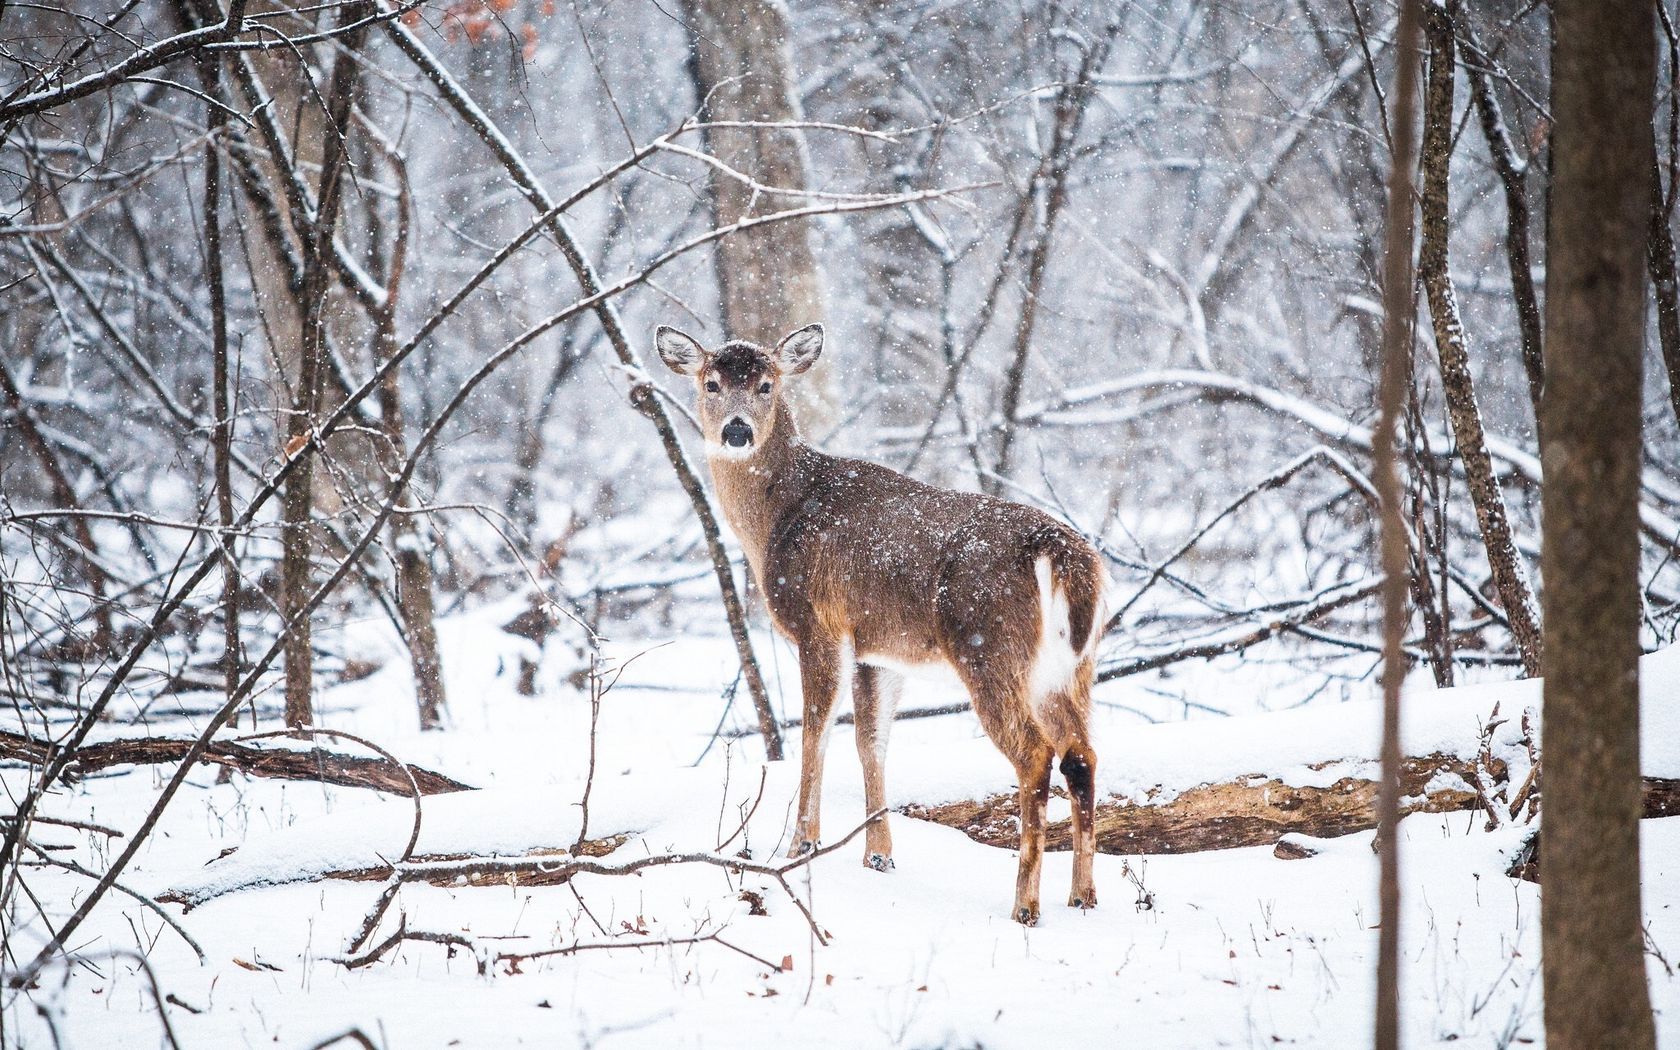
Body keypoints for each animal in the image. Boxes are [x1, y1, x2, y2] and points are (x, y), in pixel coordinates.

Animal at [655, 322, 1106, 925]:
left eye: (767, 384)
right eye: (711, 382)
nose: (736, 430)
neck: (777, 518)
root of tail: (1059, 551)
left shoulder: (820, 624)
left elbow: (815, 733)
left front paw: (802, 845)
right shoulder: (878, 650)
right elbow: (871, 740)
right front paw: (879, 855)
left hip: (989, 645)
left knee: (1036, 755)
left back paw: (1025, 905)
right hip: (1071, 666)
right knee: (1081, 755)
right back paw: (1084, 896)